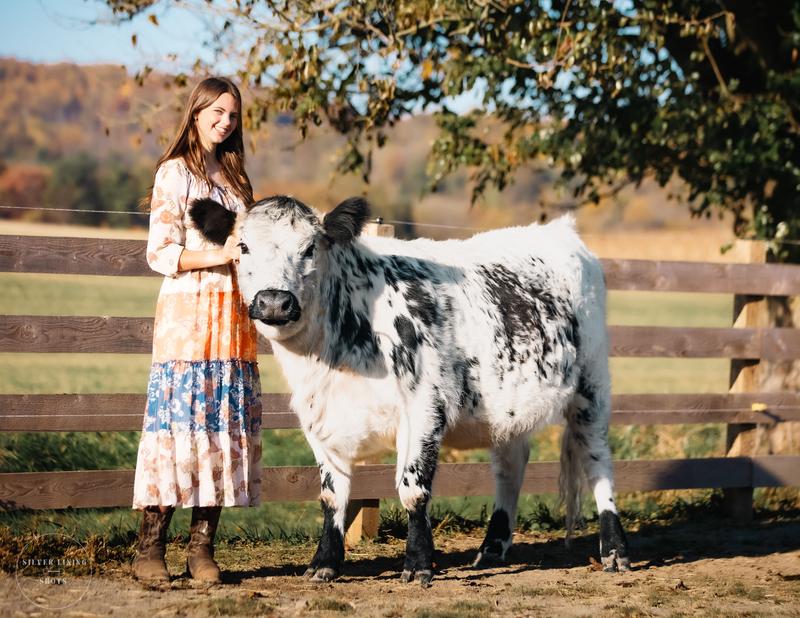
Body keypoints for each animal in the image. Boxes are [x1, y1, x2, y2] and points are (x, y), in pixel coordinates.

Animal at [190, 195, 630, 586]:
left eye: (310, 248)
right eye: (243, 247)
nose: (274, 302)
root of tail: (559, 231)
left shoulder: (423, 409)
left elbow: (413, 490)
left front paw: (418, 564)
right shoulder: (319, 420)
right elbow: (332, 496)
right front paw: (323, 564)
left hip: (592, 386)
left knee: (597, 461)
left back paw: (614, 551)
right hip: (507, 407)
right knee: (511, 466)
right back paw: (491, 548)